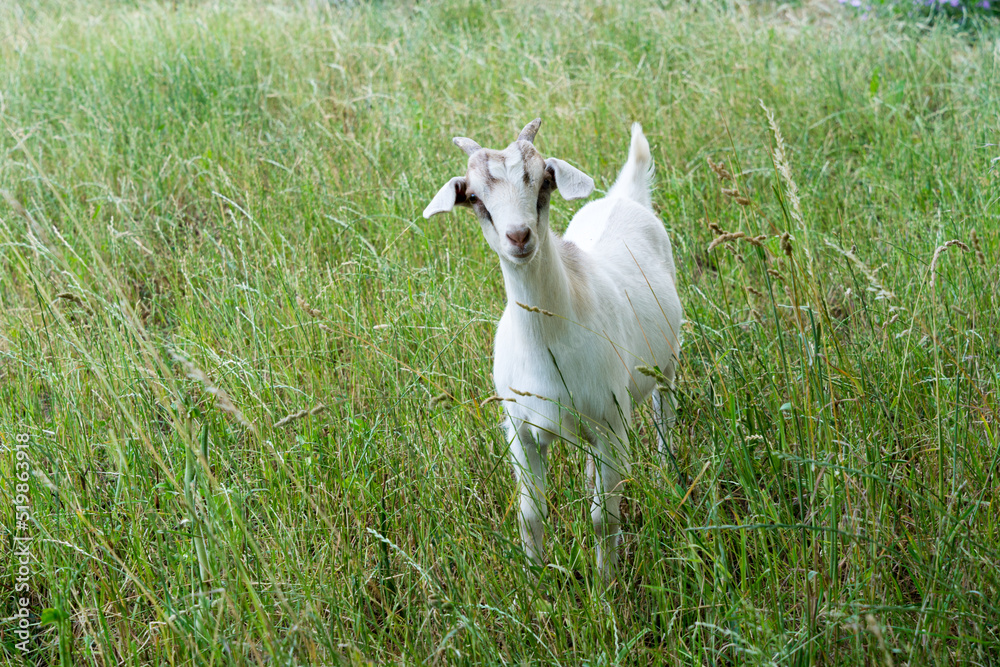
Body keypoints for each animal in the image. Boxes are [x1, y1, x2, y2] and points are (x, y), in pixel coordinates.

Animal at [423, 119, 682, 579]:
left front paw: (605, 587)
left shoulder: (612, 424)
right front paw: (536, 583)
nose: (519, 235)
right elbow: (531, 515)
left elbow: (603, 518)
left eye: (544, 180)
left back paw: (666, 473)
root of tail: (624, 197)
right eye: (473, 197)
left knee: (664, 414)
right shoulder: (520, 431)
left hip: (665, 364)